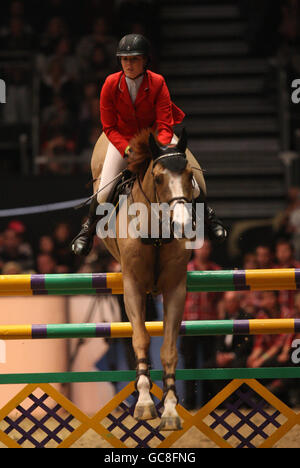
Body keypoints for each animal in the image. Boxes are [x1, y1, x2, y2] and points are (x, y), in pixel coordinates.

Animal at [91, 129, 199, 432]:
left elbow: (169, 349)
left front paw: (171, 409)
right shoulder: (133, 288)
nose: (182, 224)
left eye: (189, 175)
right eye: (159, 178)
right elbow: (140, 339)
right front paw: (144, 402)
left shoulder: (175, 289)